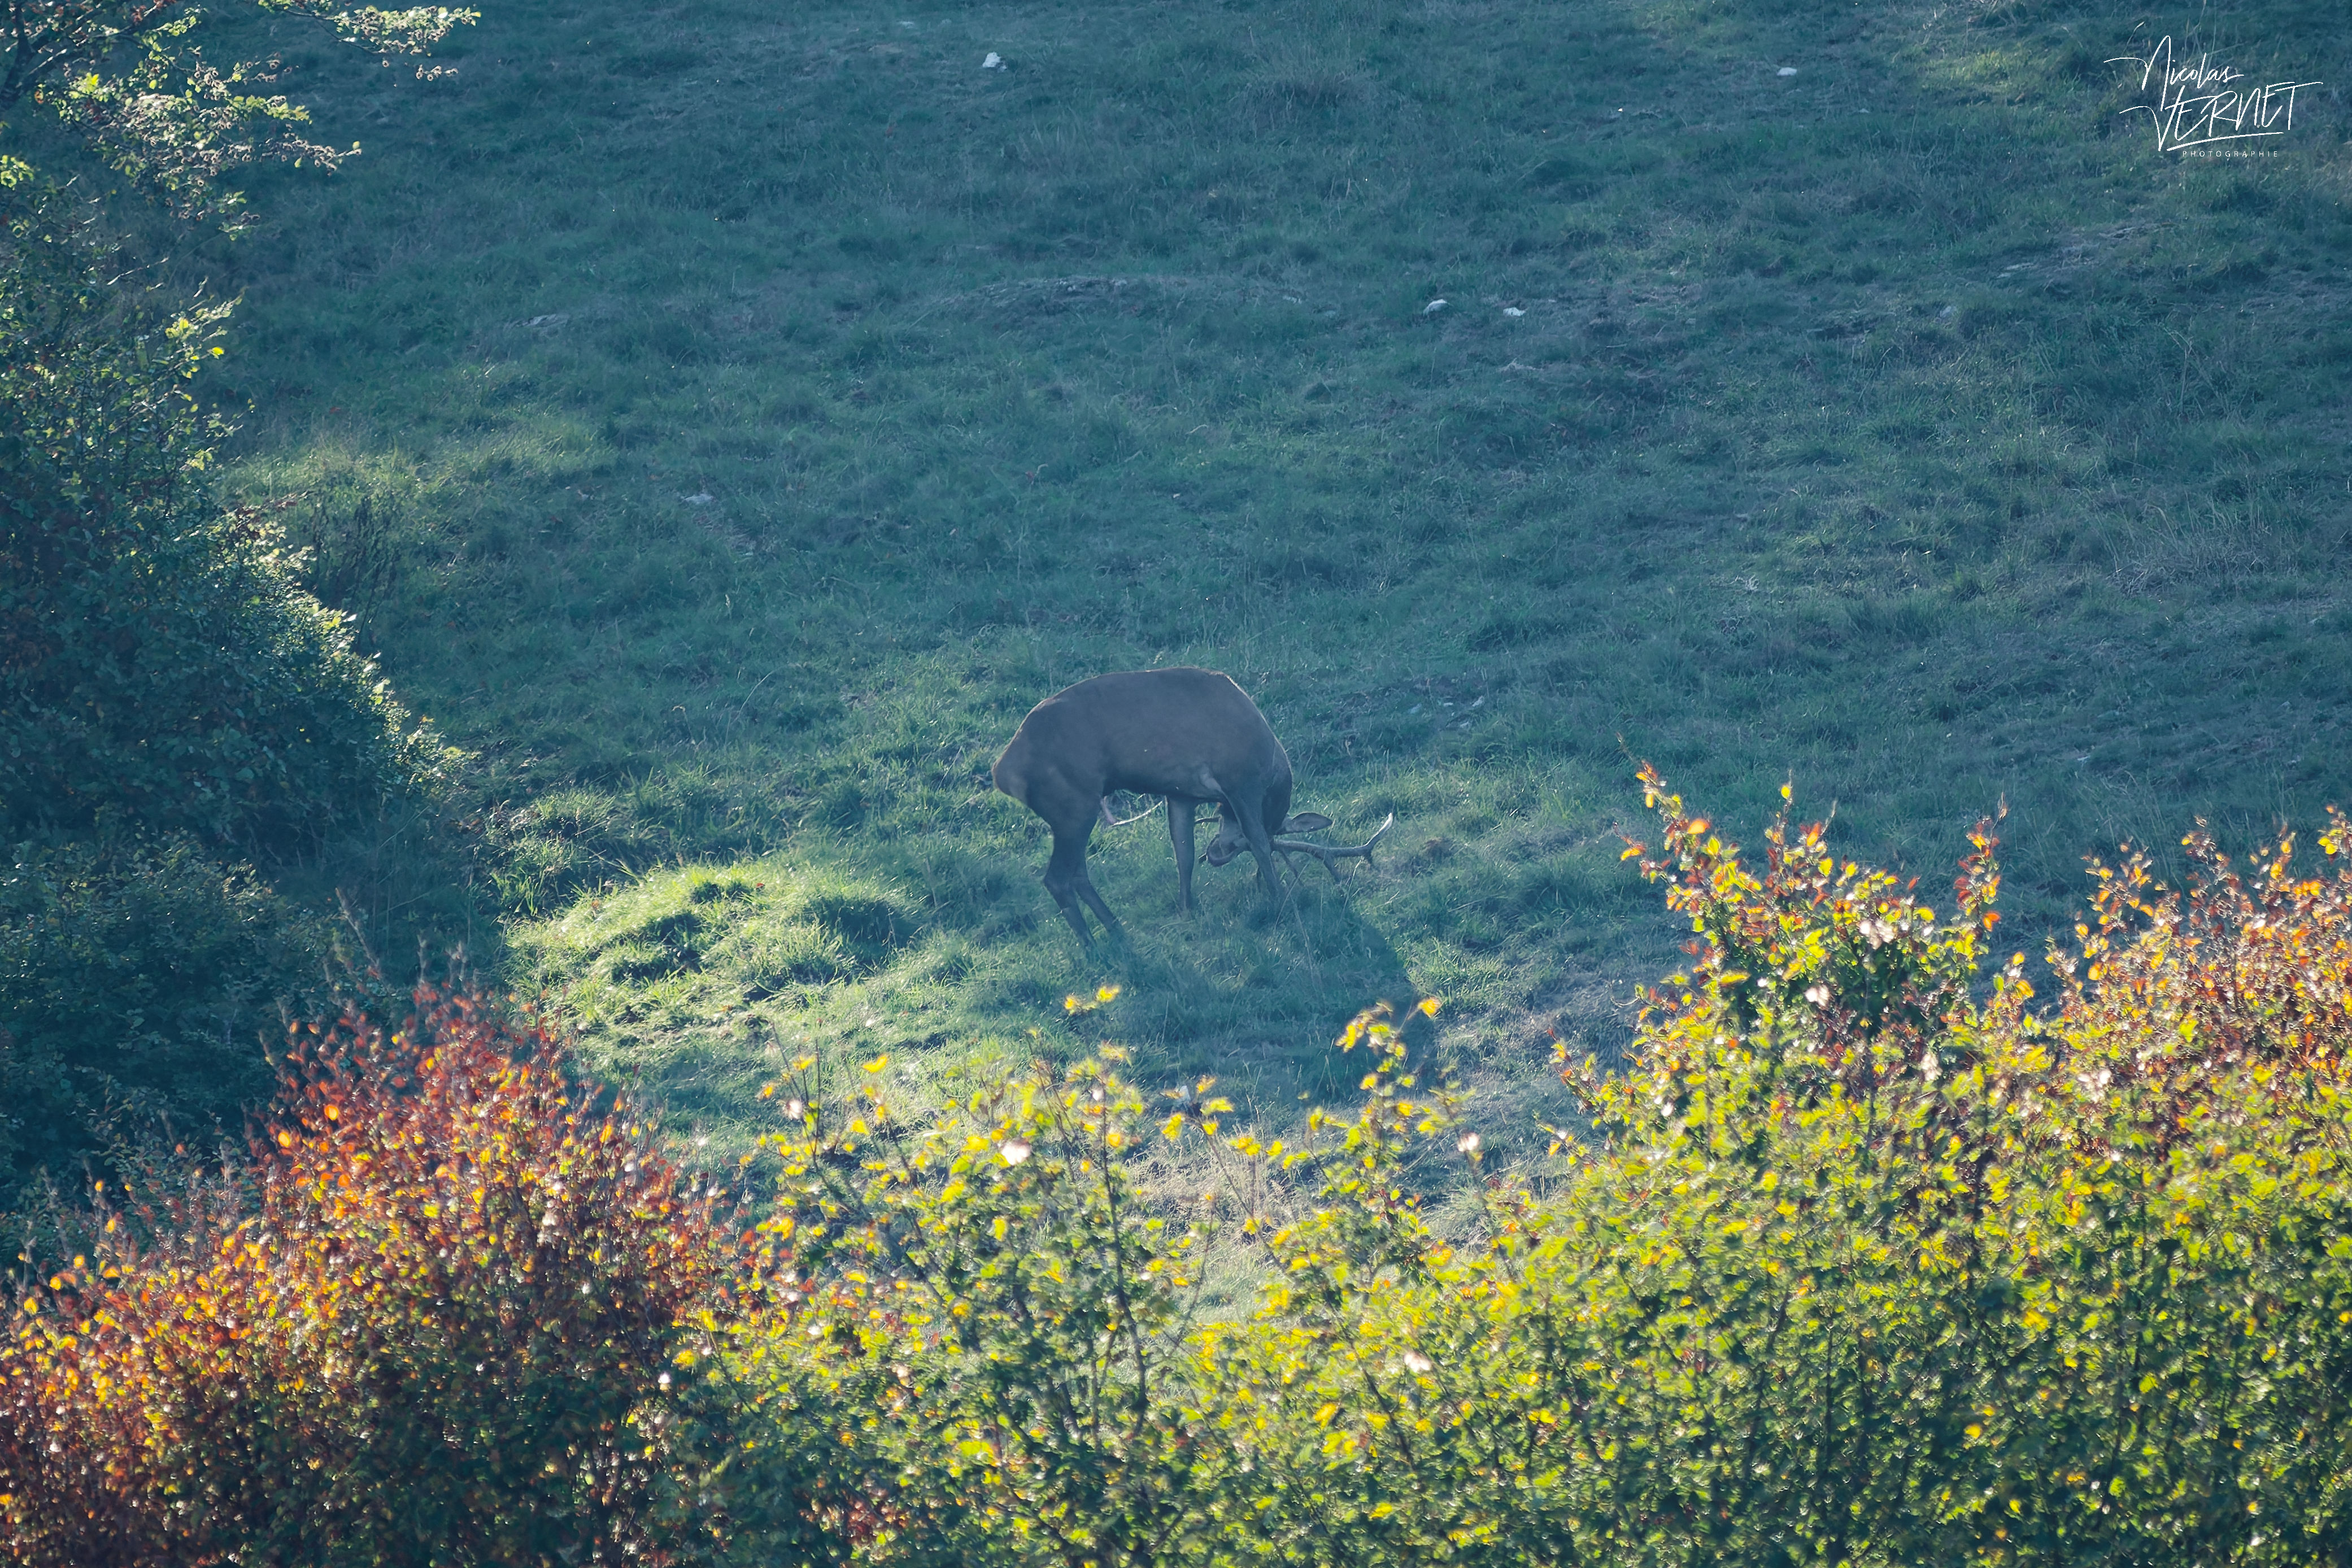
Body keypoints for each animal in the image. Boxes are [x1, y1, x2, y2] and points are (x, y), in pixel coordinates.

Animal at [991, 667, 1392, 947]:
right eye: (1245, 842)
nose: (1218, 854)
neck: (1272, 768)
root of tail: (1002, 771)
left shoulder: (1181, 794)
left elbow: (1183, 852)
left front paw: (1187, 908)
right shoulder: (1239, 780)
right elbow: (1259, 843)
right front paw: (1282, 900)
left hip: (1073, 811)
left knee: (1077, 873)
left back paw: (1117, 931)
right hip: (1072, 804)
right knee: (1058, 877)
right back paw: (1094, 946)